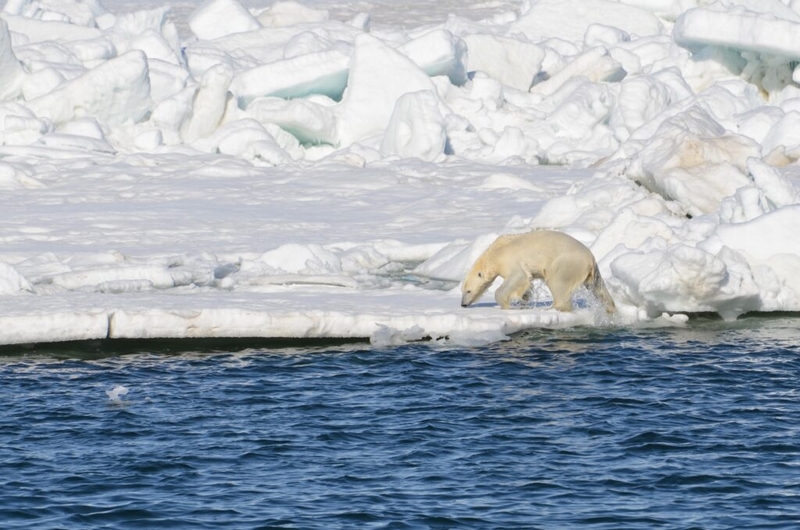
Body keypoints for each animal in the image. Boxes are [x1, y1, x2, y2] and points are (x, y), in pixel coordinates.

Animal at [460, 230, 616, 313]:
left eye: (468, 291)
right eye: (462, 291)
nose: (463, 304)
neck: (495, 253)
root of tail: (590, 258)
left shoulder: (511, 261)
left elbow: (519, 277)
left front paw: (507, 304)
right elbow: (527, 284)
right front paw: (524, 300)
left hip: (566, 263)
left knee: (557, 283)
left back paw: (552, 308)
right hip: (591, 272)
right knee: (598, 288)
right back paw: (610, 308)